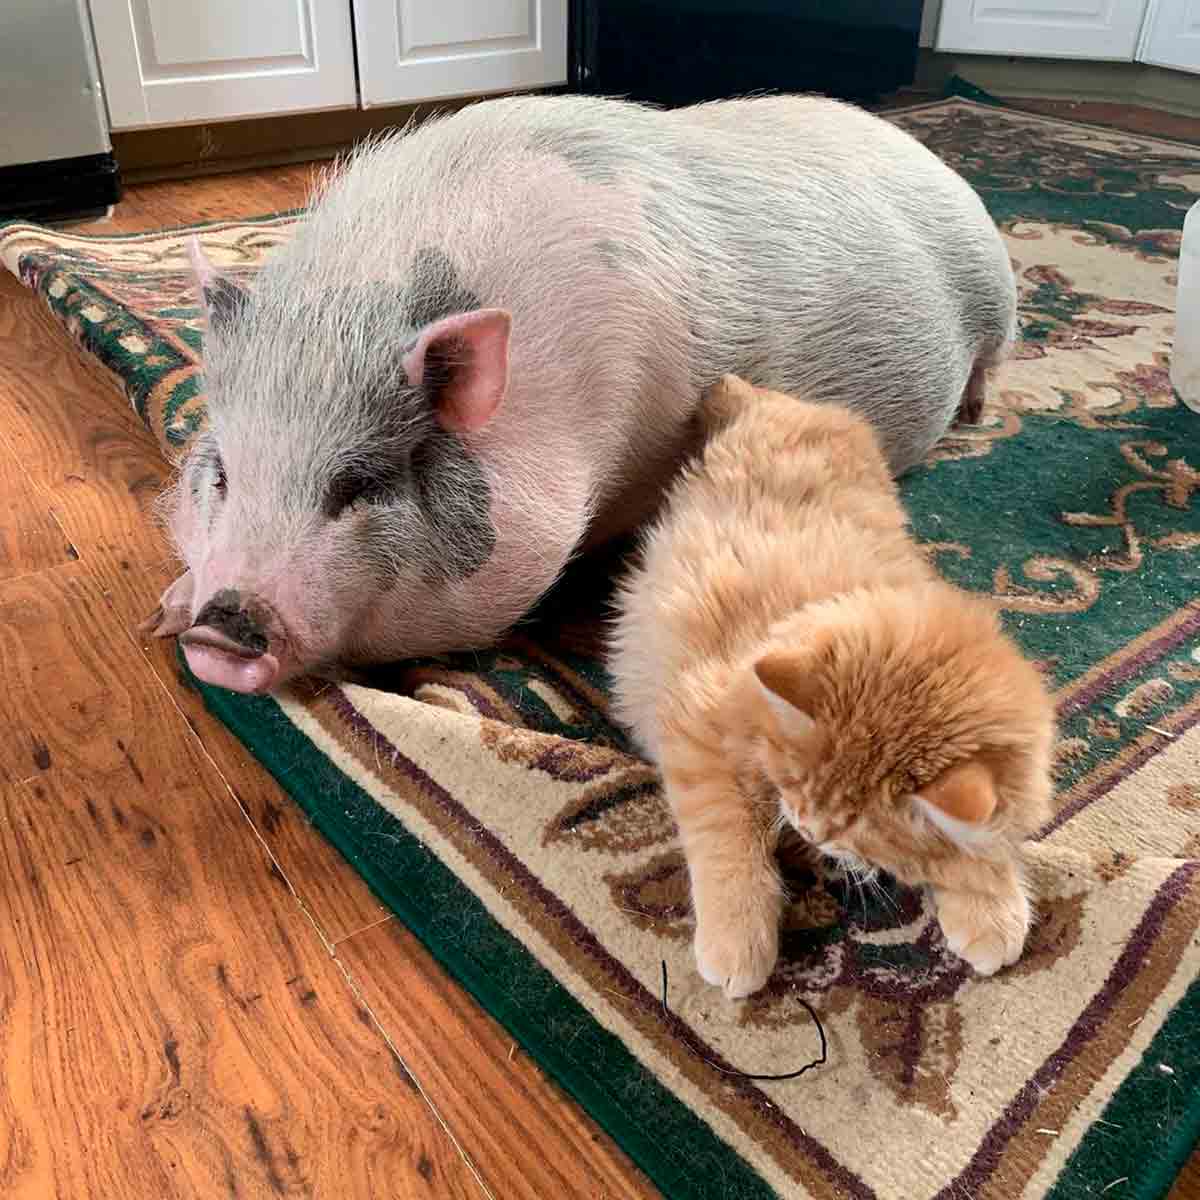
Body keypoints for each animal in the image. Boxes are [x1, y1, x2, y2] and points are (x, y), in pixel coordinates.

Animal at [142, 91, 1022, 696]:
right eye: (223, 474)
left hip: (998, 293)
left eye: (360, 484)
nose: (225, 628)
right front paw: (160, 614)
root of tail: (914, 144)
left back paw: (978, 414)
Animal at [614, 372, 1056, 993]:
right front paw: (738, 935)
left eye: (854, 828)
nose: (807, 828)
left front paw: (989, 901)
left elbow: (984, 844)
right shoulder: (699, 727)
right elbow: (727, 837)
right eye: (797, 785)